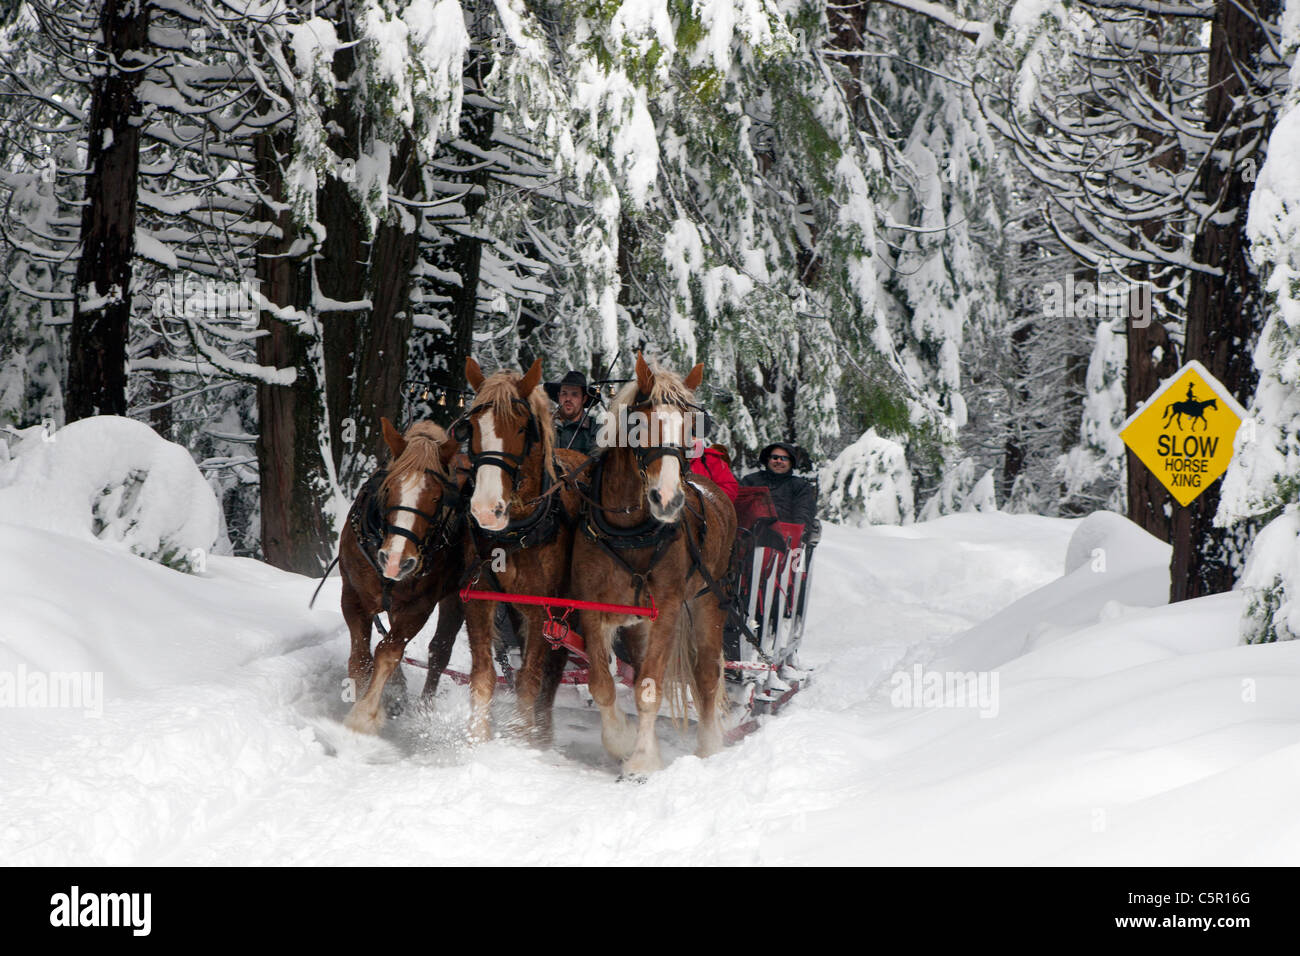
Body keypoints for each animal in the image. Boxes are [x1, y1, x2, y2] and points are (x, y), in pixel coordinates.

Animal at [340, 418, 467, 733]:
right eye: (388, 490)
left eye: (436, 497)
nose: (397, 561)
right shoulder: (352, 594)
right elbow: (361, 657)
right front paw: (369, 696)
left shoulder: (418, 607)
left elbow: (388, 652)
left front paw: (364, 715)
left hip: (457, 597)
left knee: (439, 652)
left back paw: (424, 707)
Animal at [457, 358, 579, 749]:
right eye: (471, 427)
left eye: (524, 428)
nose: (485, 510)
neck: (514, 534)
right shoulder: (478, 598)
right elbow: (483, 674)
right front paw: (477, 740)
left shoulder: (545, 611)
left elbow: (530, 679)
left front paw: (523, 741)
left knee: (551, 673)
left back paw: (543, 732)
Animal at [572, 356, 738, 775]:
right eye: (639, 424)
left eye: (690, 425)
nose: (668, 500)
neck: (631, 532)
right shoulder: (592, 608)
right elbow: (602, 684)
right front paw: (621, 740)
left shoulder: (665, 609)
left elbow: (650, 687)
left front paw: (643, 760)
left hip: (708, 603)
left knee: (706, 676)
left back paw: (709, 749)